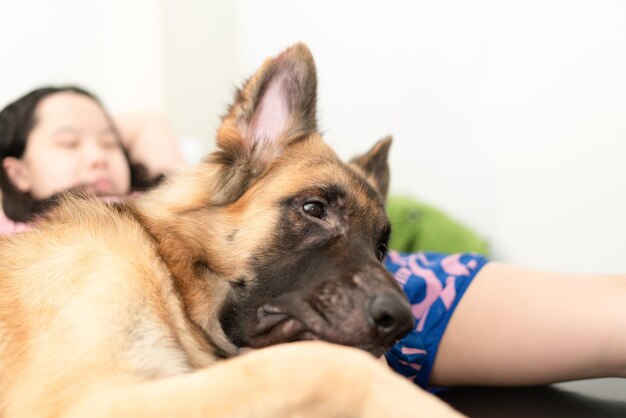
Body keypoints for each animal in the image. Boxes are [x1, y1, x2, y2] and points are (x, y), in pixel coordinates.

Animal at [0, 44, 458, 416]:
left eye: (381, 249)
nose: (401, 323)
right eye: (314, 209)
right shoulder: (96, 397)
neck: (169, 273)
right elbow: (330, 369)